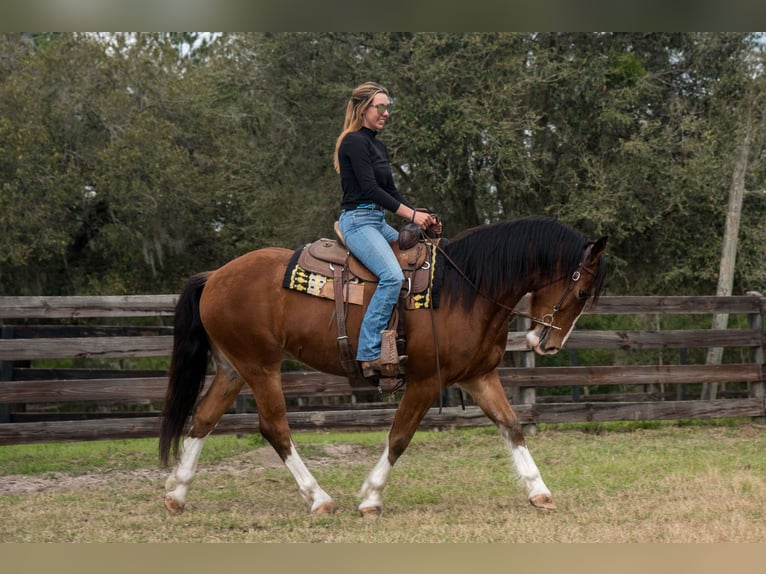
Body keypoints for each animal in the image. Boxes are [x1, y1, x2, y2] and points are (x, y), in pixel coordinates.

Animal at [159, 216, 608, 516]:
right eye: (582, 291)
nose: (548, 344)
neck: (464, 290)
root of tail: (215, 276)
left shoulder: (479, 377)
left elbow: (512, 426)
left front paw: (539, 491)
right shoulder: (426, 382)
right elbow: (400, 436)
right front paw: (371, 497)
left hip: (234, 368)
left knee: (203, 418)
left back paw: (177, 494)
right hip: (261, 367)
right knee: (274, 428)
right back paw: (319, 499)